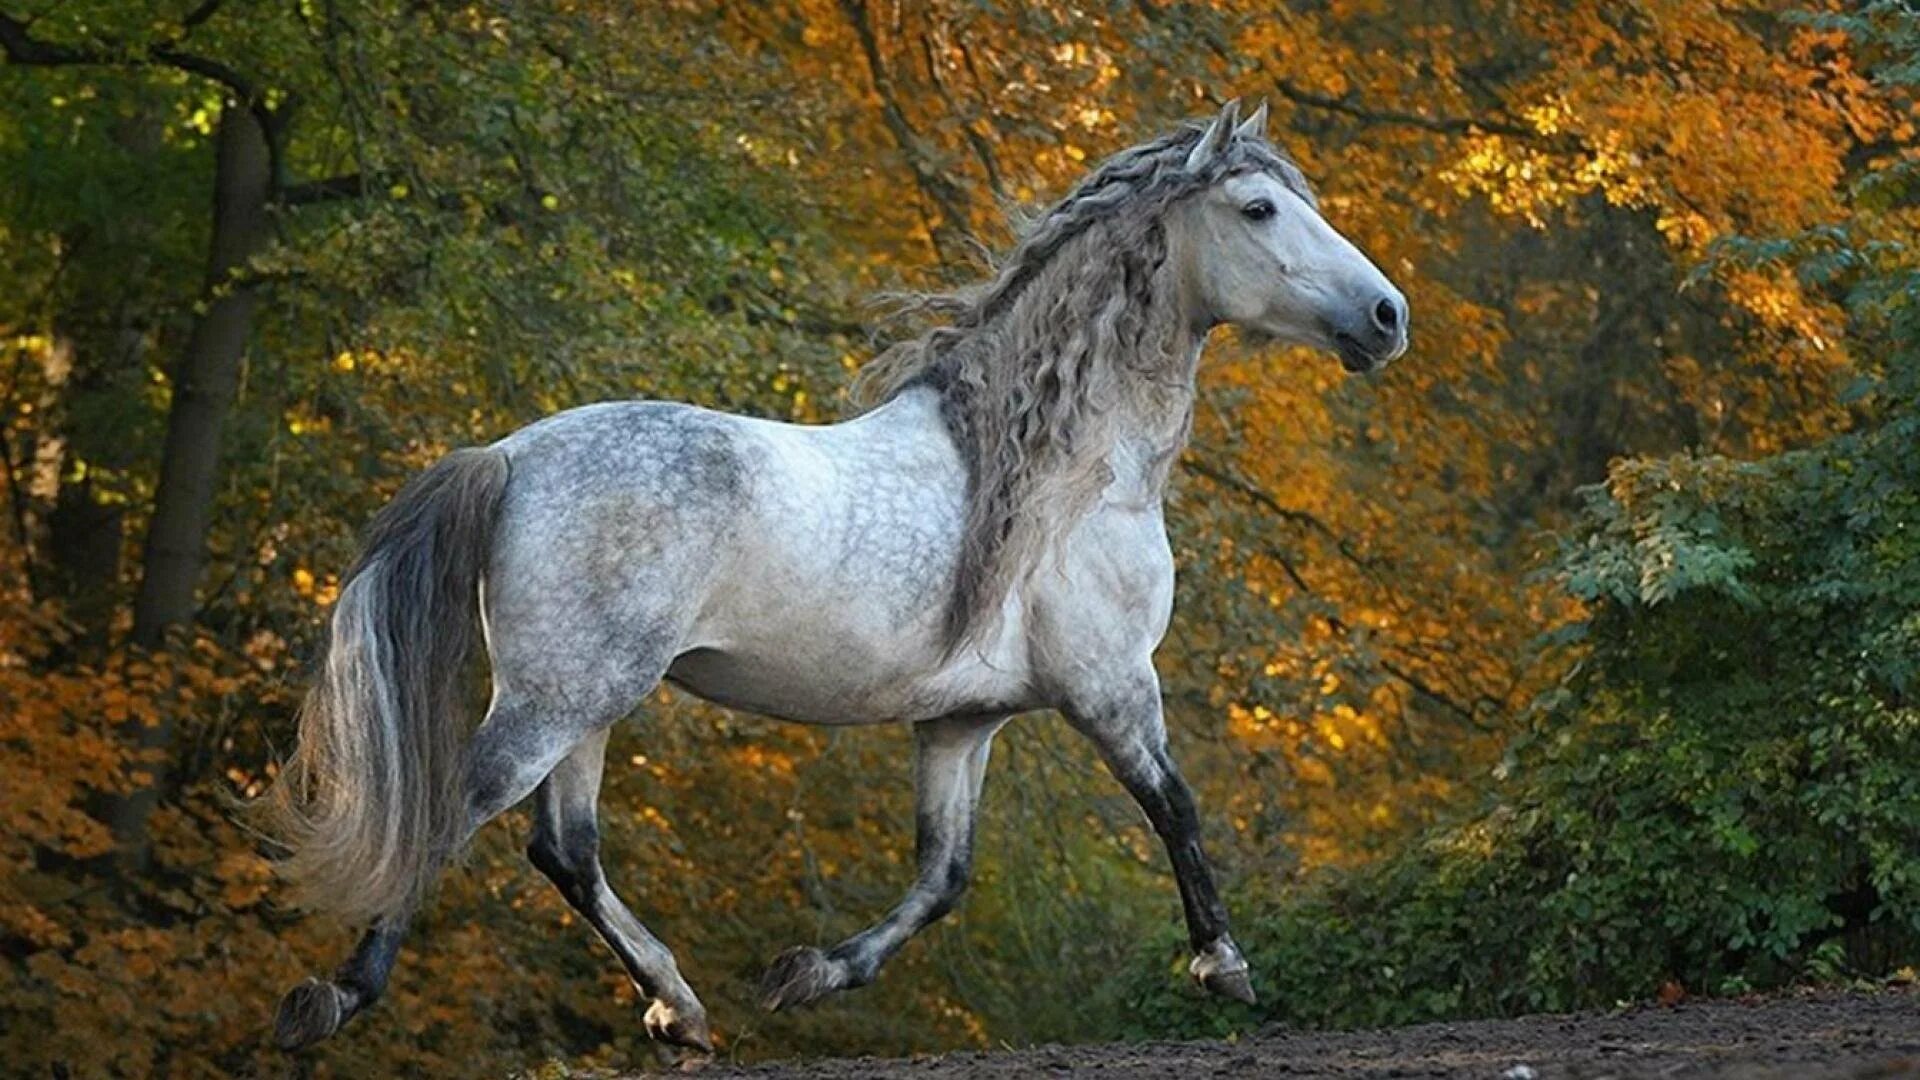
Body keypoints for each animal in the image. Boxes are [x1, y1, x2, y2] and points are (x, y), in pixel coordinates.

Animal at [266, 100, 1413, 1053]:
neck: (1063, 470)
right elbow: (1175, 806)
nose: (1388, 318)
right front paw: (1225, 966)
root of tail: (509, 454)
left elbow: (944, 876)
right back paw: (336, 997)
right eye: (1259, 209)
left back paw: (681, 1011)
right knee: (462, 808)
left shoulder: (962, 722)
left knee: (567, 851)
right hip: (562, 695)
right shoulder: (1111, 685)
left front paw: (810, 974)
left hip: (588, 701)